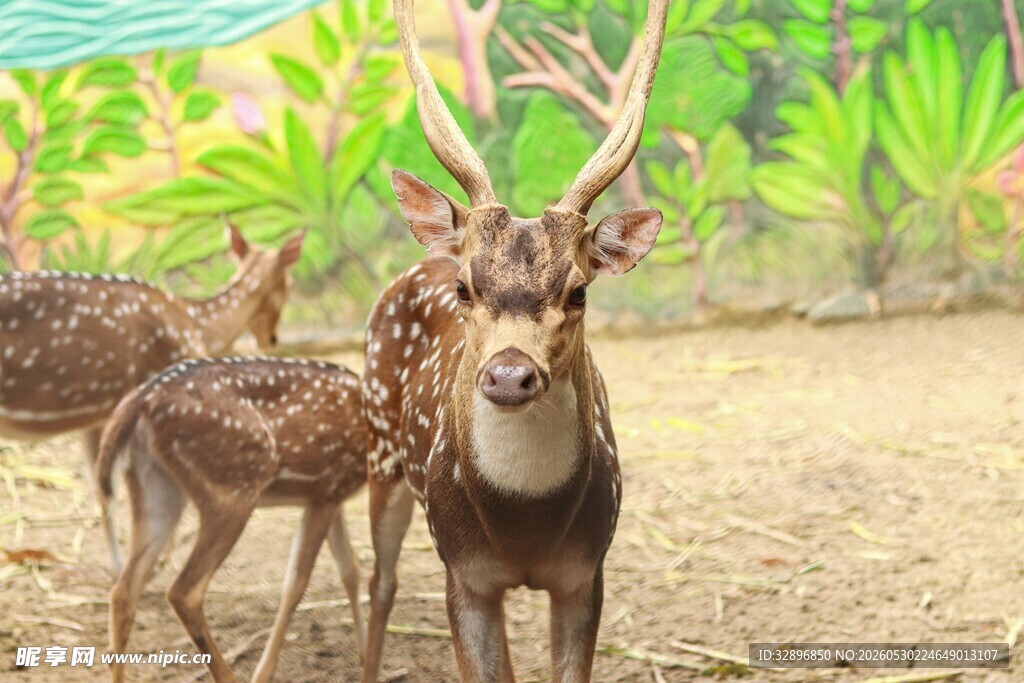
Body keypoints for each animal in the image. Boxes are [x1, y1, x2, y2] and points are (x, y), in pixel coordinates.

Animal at [0, 226, 305, 573]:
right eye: (290, 283)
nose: (272, 339)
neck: (198, 325)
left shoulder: (98, 415)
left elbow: (101, 486)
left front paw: (118, 563)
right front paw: (149, 560)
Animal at [96, 356, 366, 683]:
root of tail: (138, 402)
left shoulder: (332, 494)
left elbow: (350, 570)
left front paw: (367, 661)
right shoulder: (326, 490)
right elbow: (297, 582)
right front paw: (263, 673)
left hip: (156, 489)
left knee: (123, 591)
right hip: (233, 490)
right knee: (183, 591)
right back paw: (230, 675)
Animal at [360, 0, 668, 680]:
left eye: (578, 291)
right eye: (465, 287)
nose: (508, 374)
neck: (523, 527)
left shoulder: (585, 571)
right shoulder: (464, 573)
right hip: (380, 451)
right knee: (379, 584)